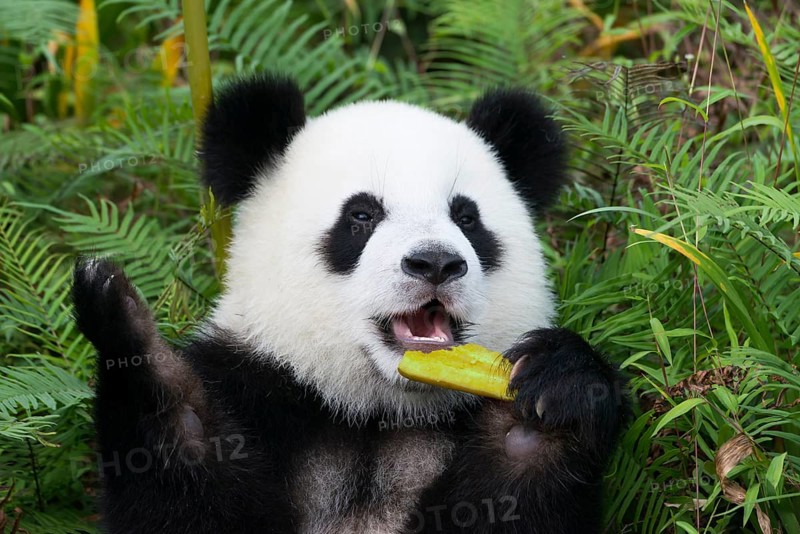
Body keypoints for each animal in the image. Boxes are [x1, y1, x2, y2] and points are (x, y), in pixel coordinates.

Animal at [72, 73, 627, 534]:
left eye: (467, 218)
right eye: (361, 216)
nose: (435, 262)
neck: (374, 409)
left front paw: (549, 399)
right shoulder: (255, 385)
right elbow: (183, 499)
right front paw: (132, 335)